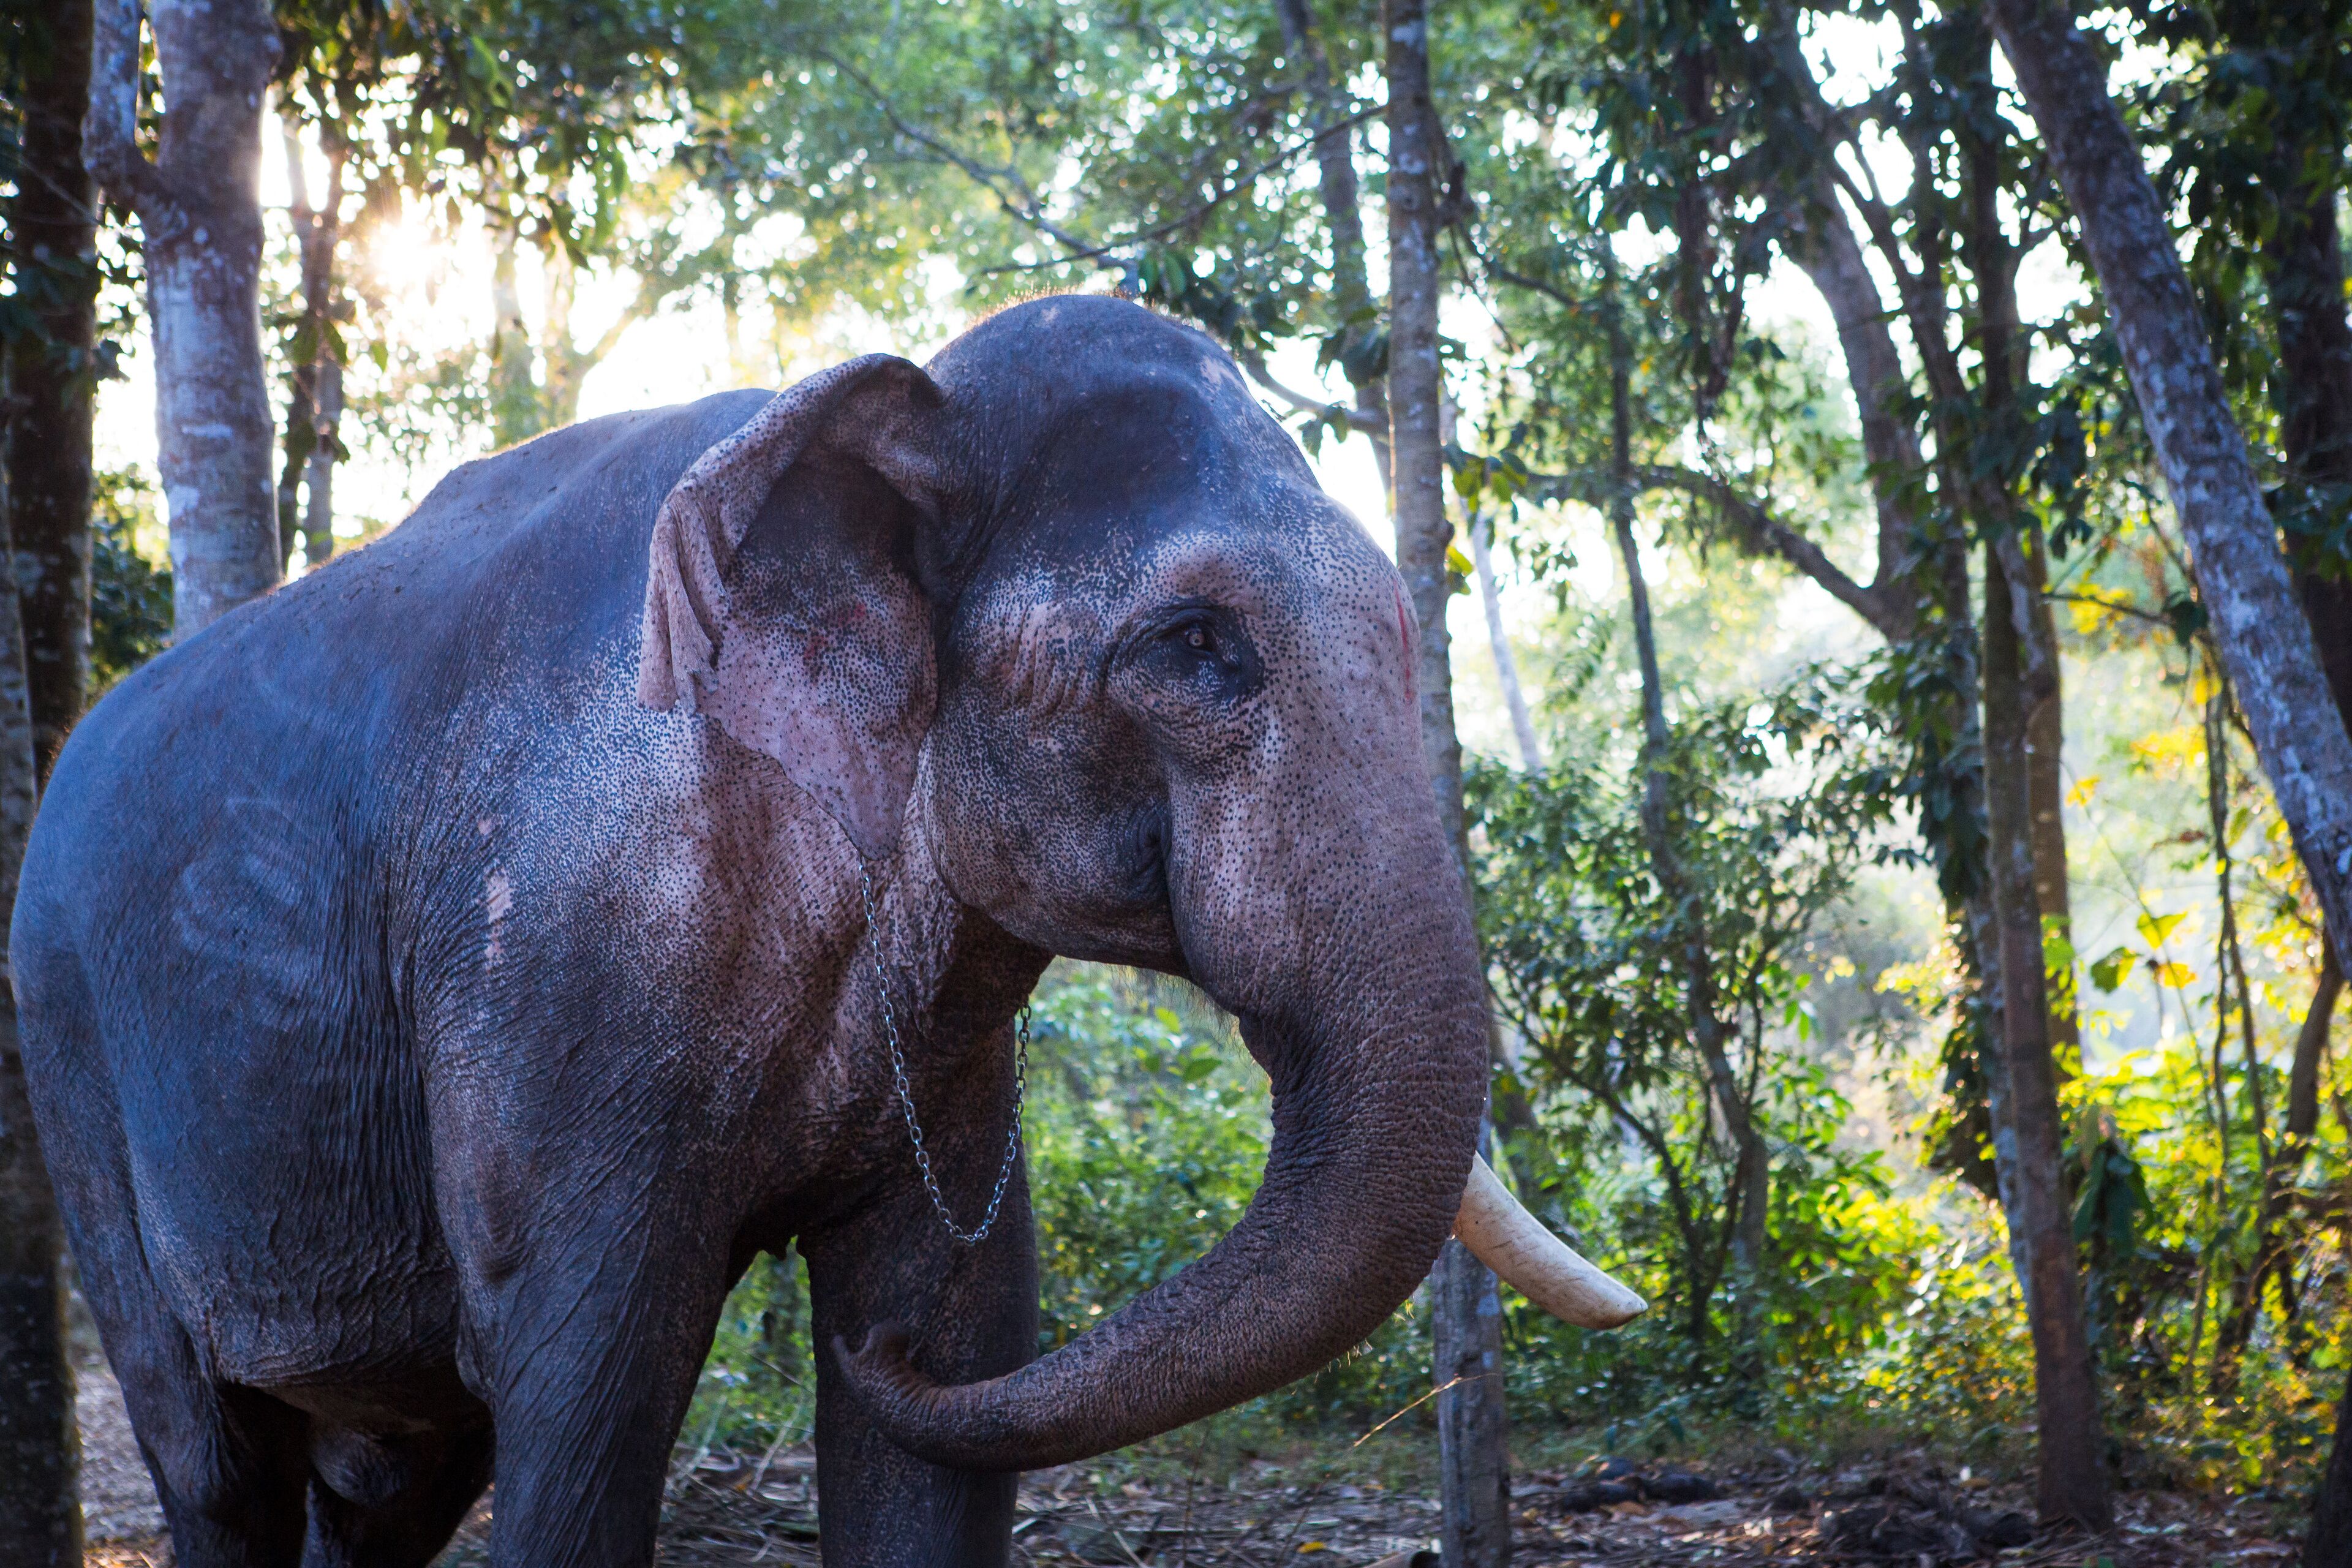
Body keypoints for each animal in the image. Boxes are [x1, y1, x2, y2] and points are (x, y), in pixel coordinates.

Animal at [11, 295, 1636, 1568]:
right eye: (1196, 647)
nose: (851, 1350)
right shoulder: (555, 963)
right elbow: (585, 1378)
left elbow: (960, 1348)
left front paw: (888, 1342)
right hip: (72, 1054)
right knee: (218, 1460)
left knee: (392, 1480)